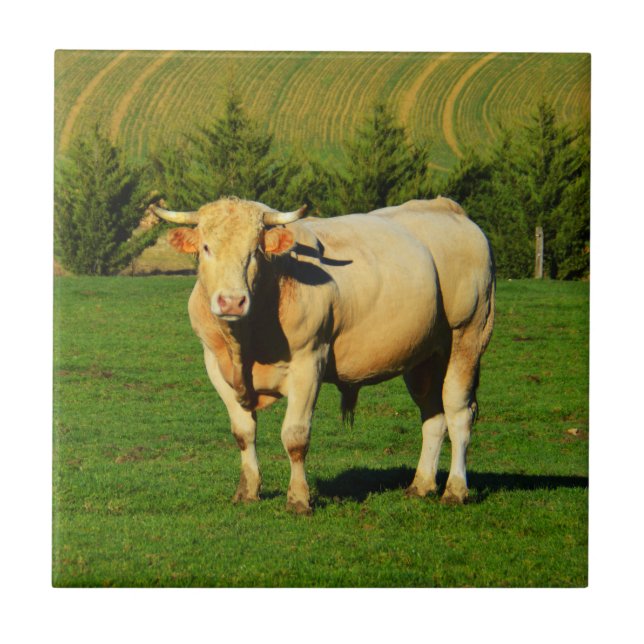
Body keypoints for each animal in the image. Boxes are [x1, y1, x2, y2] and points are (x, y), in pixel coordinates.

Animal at [150, 196, 495, 514]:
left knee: (458, 412)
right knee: (433, 415)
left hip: (468, 334)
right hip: (424, 356)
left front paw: (299, 499)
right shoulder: (215, 366)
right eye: (206, 248)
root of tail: (448, 208)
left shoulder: (309, 362)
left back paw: (455, 489)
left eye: (255, 251)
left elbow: (295, 436)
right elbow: (243, 432)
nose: (231, 302)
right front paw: (247, 491)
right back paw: (421, 485)